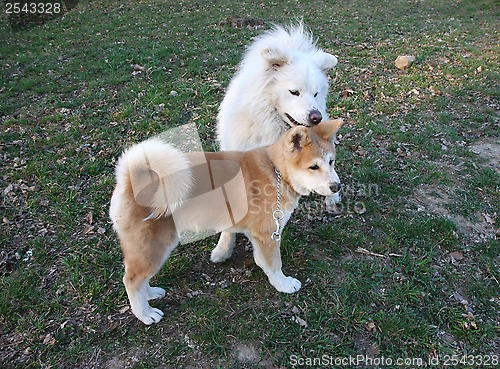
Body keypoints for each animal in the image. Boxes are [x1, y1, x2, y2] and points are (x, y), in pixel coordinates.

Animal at [111, 118, 342, 322]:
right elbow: (274, 264)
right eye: (313, 167)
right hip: (154, 246)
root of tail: (130, 180)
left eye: (331, 162)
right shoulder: (267, 234)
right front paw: (283, 284)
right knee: (131, 281)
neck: (275, 170)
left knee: (140, 280)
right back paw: (145, 314)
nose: (336, 186)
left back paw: (151, 294)